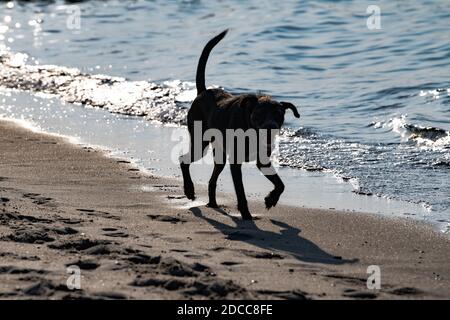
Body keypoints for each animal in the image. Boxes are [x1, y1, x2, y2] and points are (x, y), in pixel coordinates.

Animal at [179, 29, 298, 220]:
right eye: (259, 114)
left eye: (279, 115)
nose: (270, 127)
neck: (251, 130)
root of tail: (203, 92)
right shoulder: (235, 162)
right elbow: (240, 191)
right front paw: (246, 213)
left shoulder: (263, 160)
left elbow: (280, 184)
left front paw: (270, 199)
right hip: (200, 140)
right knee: (184, 161)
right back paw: (189, 190)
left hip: (219, 153)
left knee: (212, 178)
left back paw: (213, 203)